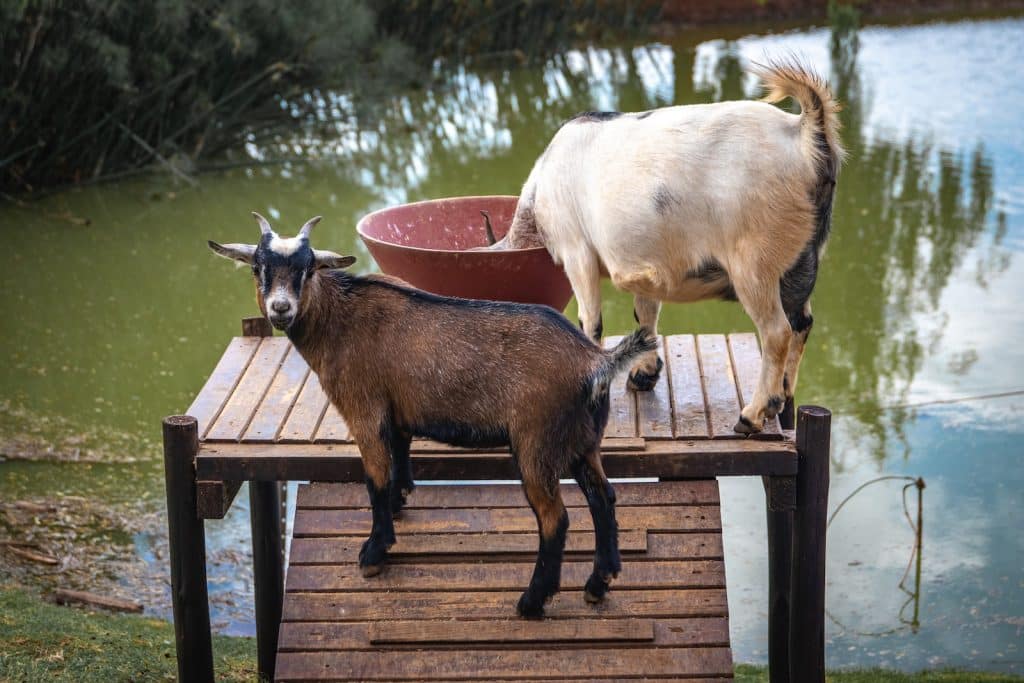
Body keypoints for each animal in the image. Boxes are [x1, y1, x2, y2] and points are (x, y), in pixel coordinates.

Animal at [209, 215, 655, 618]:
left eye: (307, 268)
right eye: (258, 268)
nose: (280, 309)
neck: (340, 319)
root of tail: (595, 363)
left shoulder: (362, 409)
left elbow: (374, 478)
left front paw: (375, 552)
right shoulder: (397, 410)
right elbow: (399, 456)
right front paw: (399, 503)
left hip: (536, 447)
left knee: (555, 520)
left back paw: (532, 602)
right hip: (583, 442)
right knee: (603, 498)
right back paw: (598, 584)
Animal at [491, 58, 843, 432]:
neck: (540, 187)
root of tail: (803, 131)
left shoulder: (577, 250)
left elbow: (590, 321)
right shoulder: (645, 262)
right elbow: (644, 313)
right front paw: (643, 375)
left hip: (753, 261)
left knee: (777, 331)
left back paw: (752, 414)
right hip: (801, 260)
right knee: (802, 322)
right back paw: (783, 395)